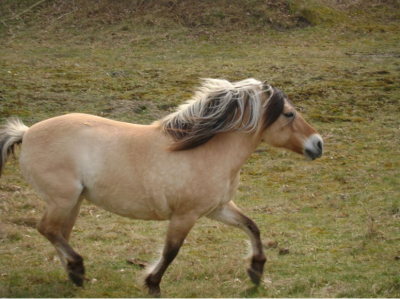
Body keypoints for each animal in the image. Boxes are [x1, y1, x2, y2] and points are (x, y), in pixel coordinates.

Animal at [0, 78, 322, 296]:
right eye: (289, 114)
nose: (318, 144)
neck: (205, 150)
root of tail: (26, 133)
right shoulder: (185, 216)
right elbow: (170, 252)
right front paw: (152, 283)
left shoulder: (218, 208)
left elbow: (252, 226)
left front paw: (256, 271)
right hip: (62, 199)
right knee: (47, 229)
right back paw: (77, 267)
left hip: (74, 201)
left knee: (59, 233)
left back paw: (74, 274)